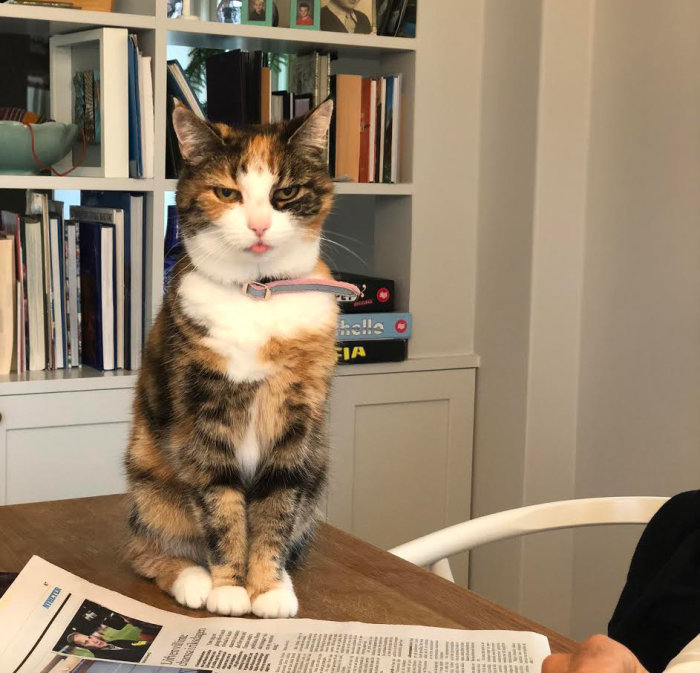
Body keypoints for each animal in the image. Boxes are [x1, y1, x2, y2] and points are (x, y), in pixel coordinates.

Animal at [127, 97, 340, 616]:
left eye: (285, 192)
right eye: (227, 192)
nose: (259, 225)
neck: (258, 295)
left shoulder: (297, 420)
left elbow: (276, 506)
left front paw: (267, 588)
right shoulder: (201, 414)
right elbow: (220, 503)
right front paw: (228, 587)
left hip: (319, 468)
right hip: (148, 477)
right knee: (144, 545)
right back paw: (190, 577)